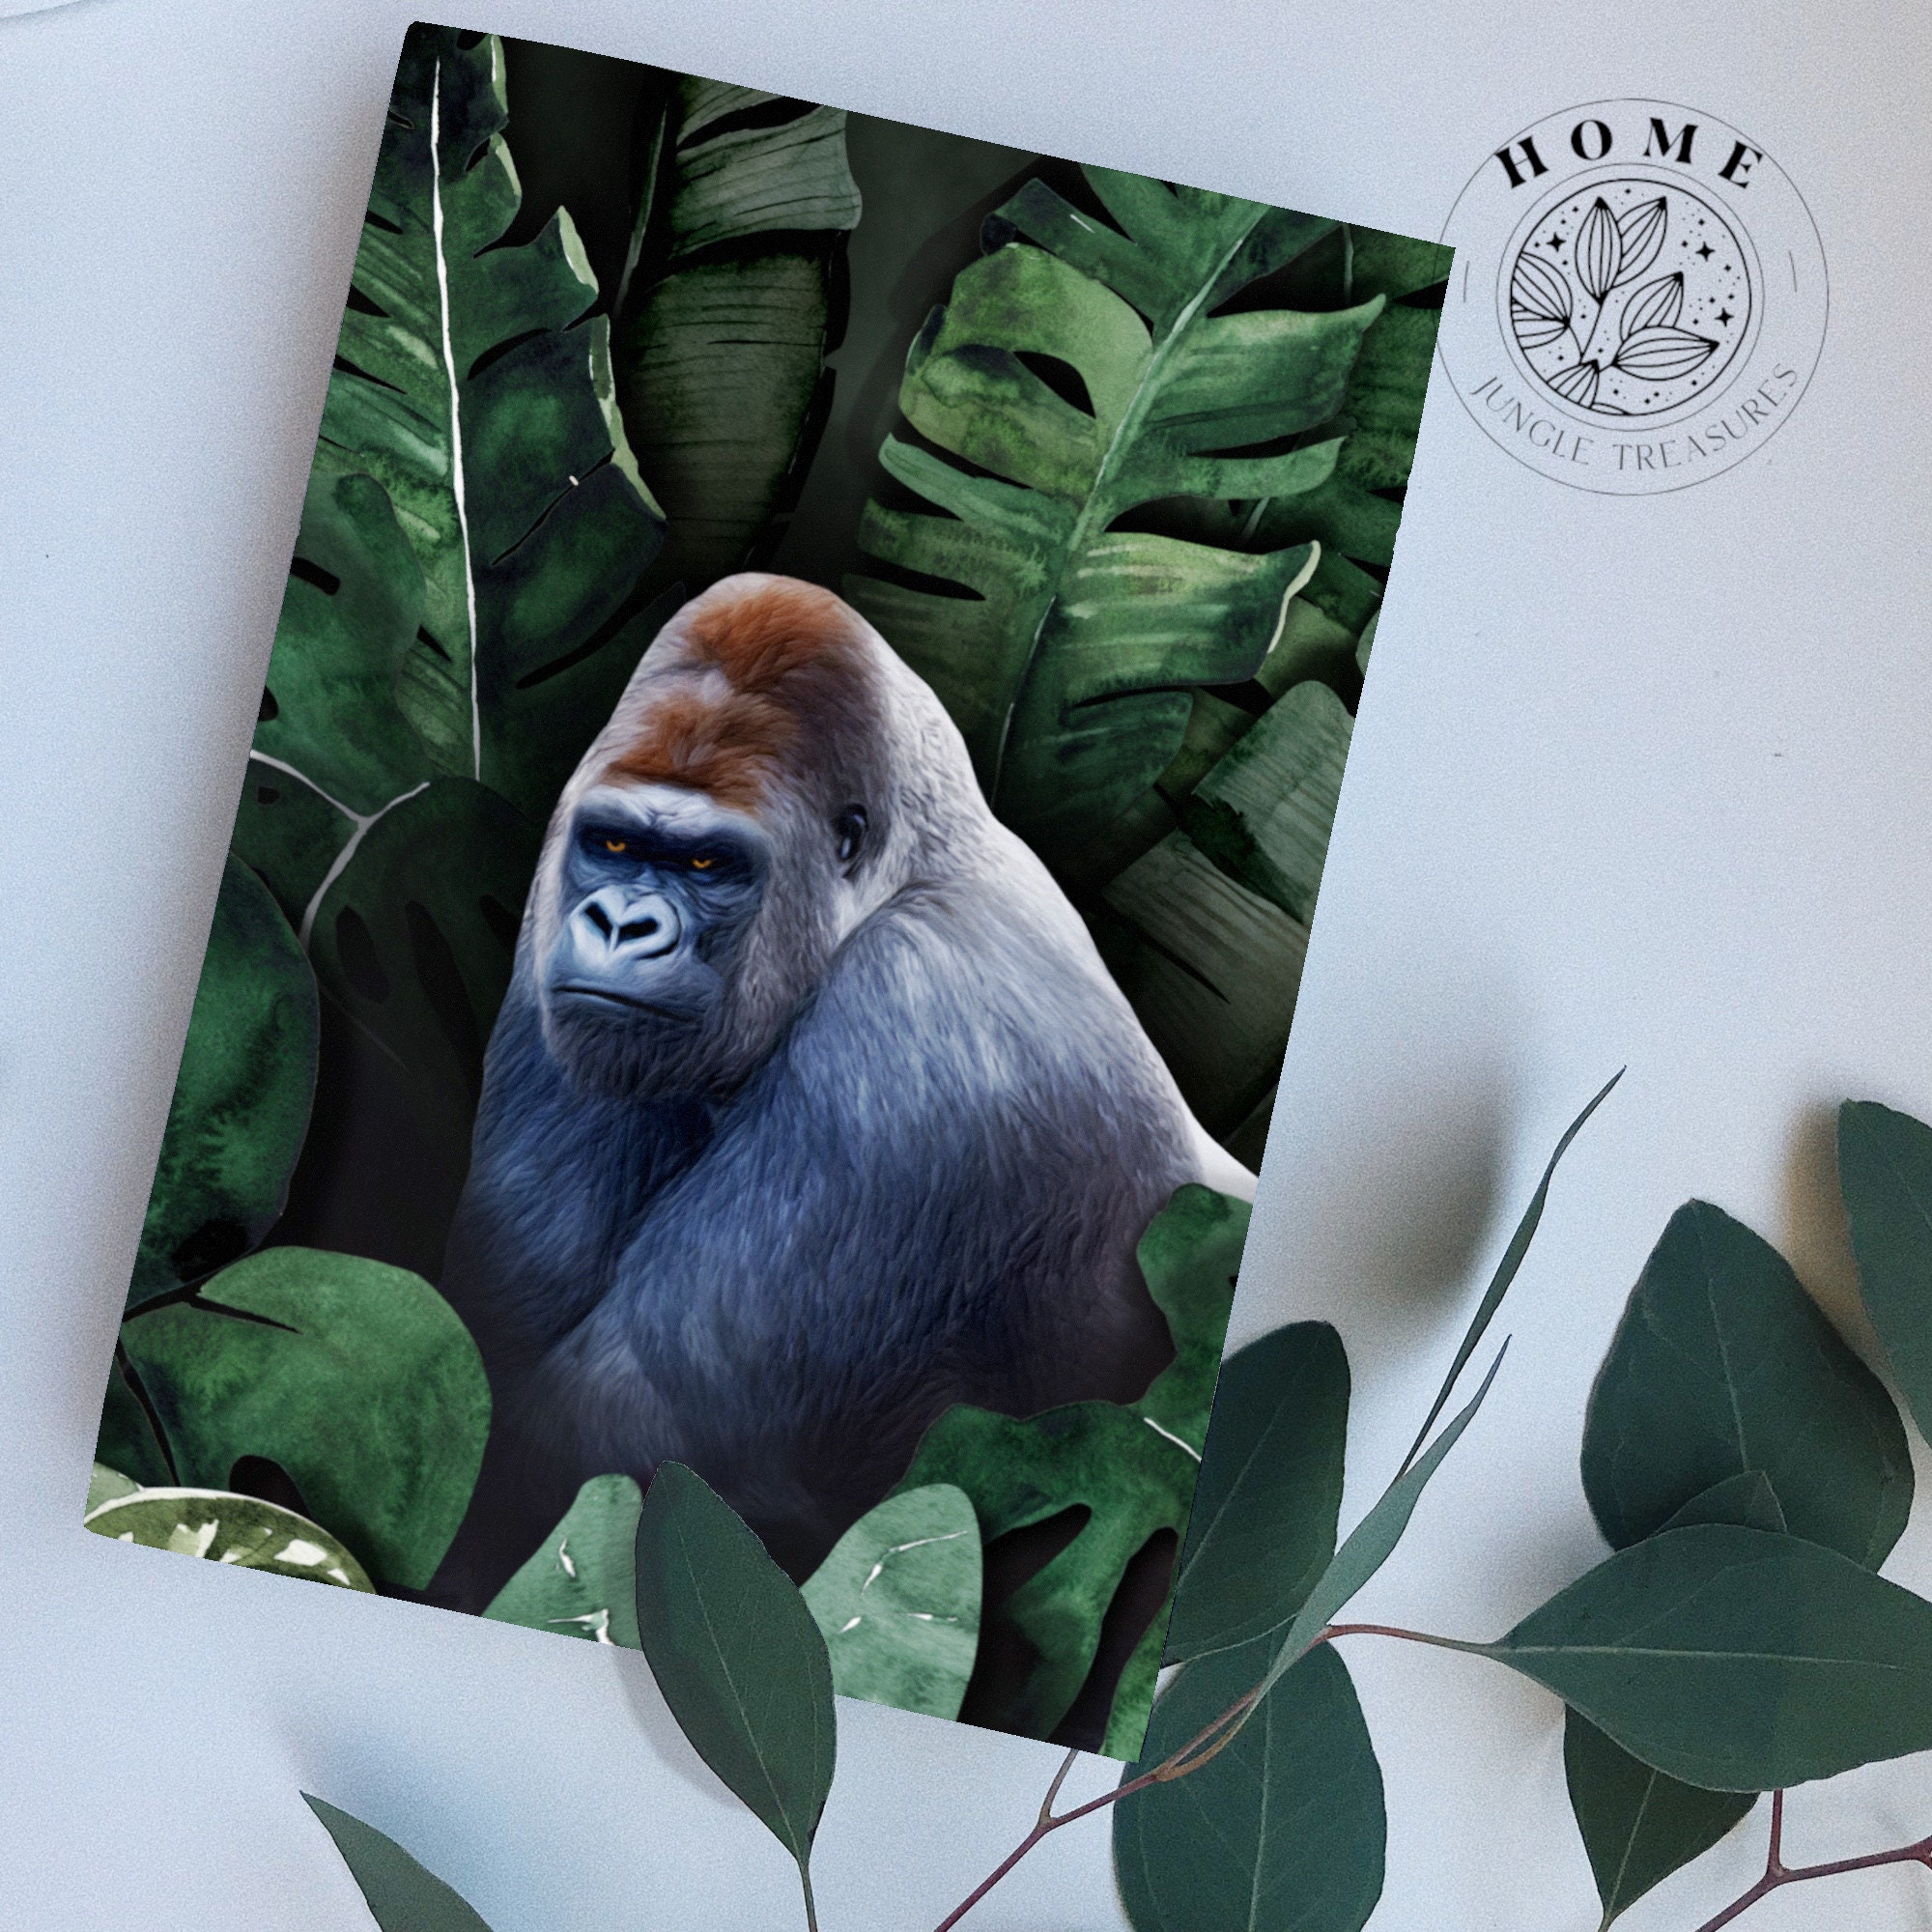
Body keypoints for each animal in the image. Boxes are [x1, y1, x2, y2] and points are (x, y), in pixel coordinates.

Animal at [436, 573, 1253, 1600]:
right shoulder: (548, 928)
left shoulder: (911, 1021)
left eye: (705, 863)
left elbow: (623, 1445)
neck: (913, 868)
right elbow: (489, 1330)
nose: (620, 926)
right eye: (615, 846)